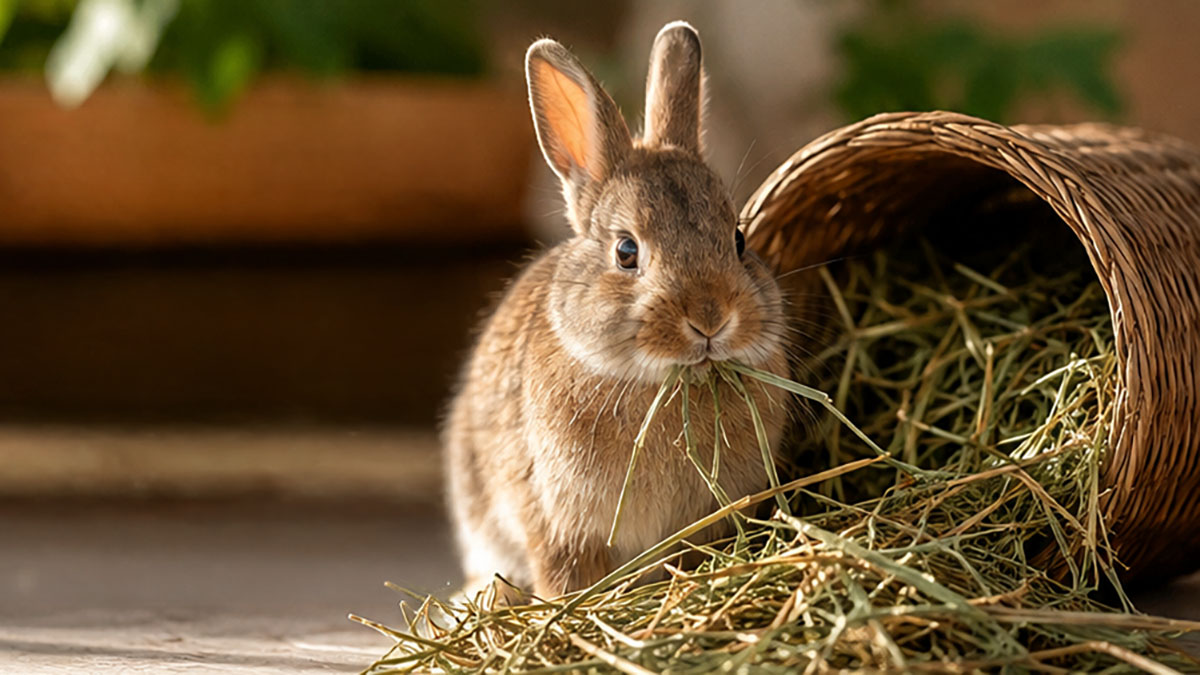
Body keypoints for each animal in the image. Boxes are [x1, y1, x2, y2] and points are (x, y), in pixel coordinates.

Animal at [444, 21, 790, 598]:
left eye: (738, 239)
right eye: (627, 252)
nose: (711, 318)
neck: (664, 382)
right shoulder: (557, 520)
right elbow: (564, 577)